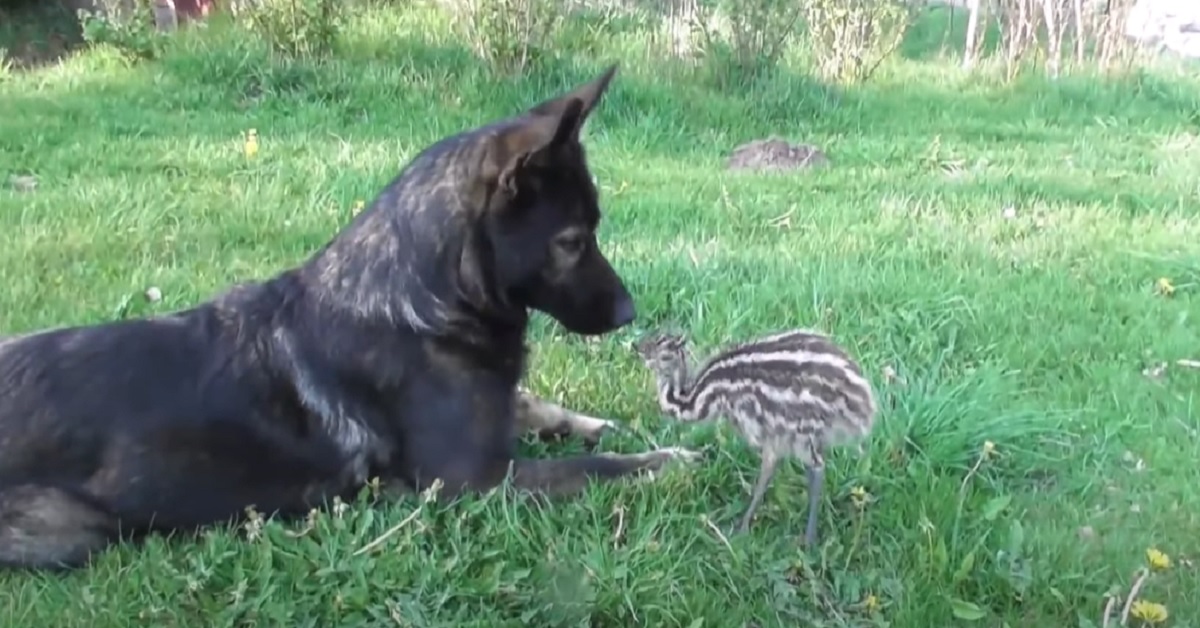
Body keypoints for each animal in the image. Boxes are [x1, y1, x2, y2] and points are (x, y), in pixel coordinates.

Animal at [0, 65, 696, 569]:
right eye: (573, 241)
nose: (631, 312)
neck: (422, 299)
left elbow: (532, 403)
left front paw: (595, 423)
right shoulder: (475, 481)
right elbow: (596, 468)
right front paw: (663, 460)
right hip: (69, 529)